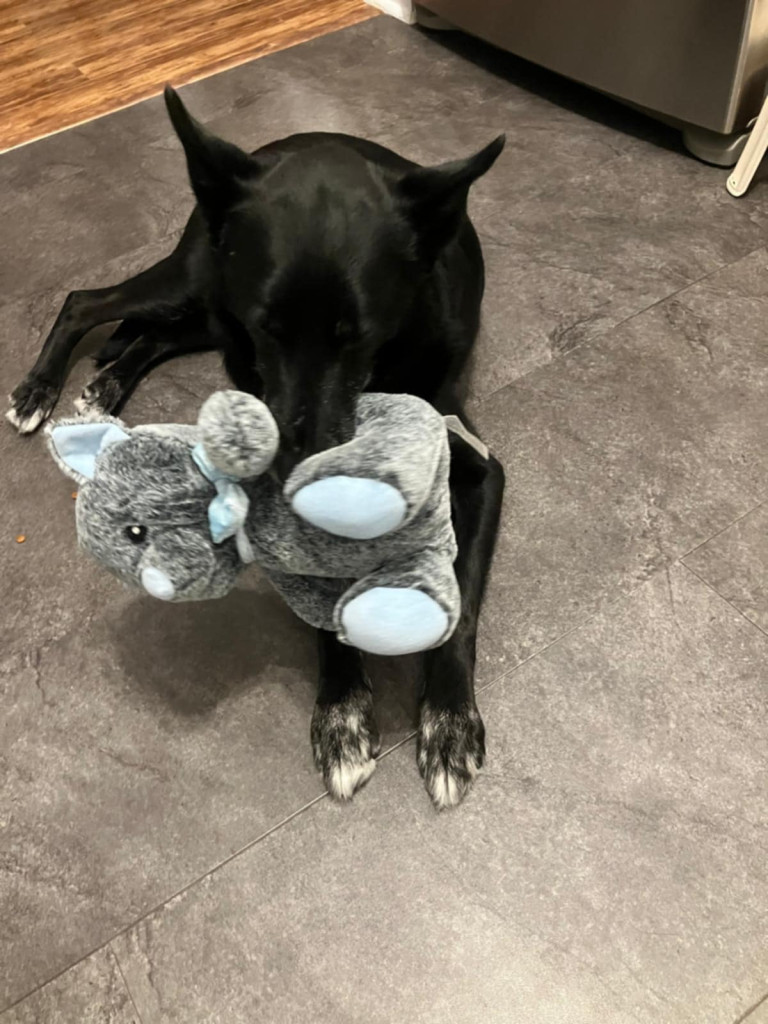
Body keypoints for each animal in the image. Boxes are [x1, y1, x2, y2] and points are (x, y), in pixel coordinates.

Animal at [8, 87, 505, 809]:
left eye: (359, 334)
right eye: (272, 328)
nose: (300, 472)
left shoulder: (480, 471)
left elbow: (460, 607)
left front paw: (449, 721)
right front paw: (343, 714)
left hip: (207, 306)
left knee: (151, 332)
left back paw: (102, 386)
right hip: (200, 283)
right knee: (87, 301)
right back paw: (40, 389)